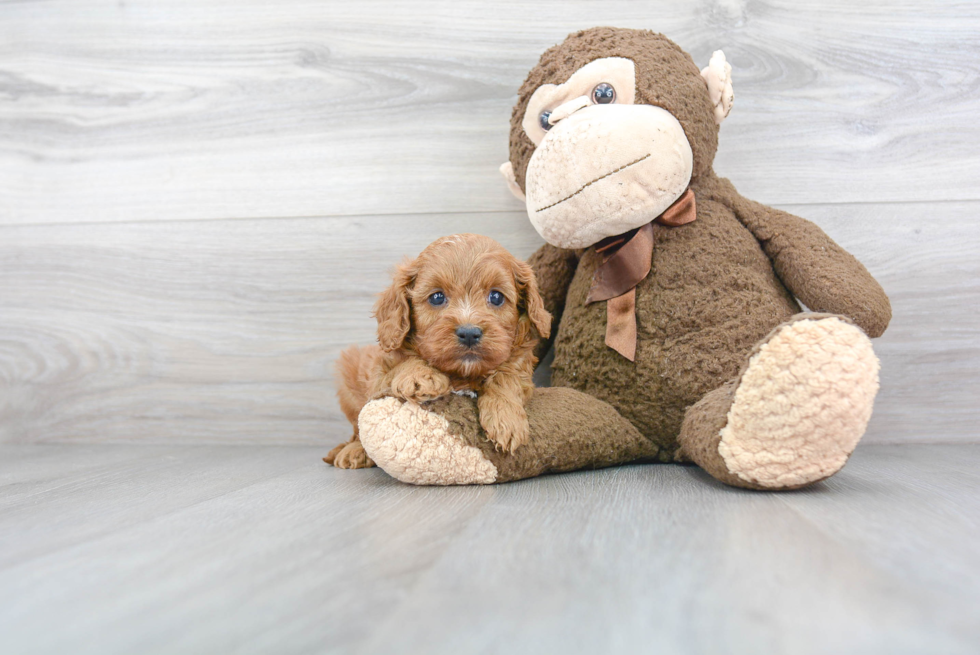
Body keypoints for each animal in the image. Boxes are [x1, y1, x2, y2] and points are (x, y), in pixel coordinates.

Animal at [324, 233, 548, 468]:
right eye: (437, 297)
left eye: (496, 297)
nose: (469, 333)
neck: (462, 375)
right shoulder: (380, 374)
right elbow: (403, 361)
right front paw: (420, 376)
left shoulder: (520, 362)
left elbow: (507, 376)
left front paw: (505, 418)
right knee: (357, 428)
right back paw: (354, 451)